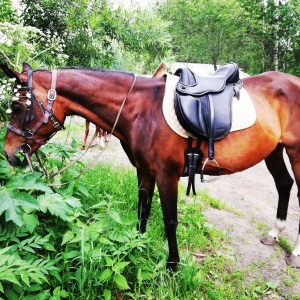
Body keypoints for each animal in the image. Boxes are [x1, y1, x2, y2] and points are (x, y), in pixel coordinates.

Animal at [1, 62, 300, 270]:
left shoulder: (167, 176)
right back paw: (274, 233)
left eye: (17, 107)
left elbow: (169, 220)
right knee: (284, 184)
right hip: (274, 150)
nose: (9, 154)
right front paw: (137, 244)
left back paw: (295, 253)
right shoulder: (144, 171)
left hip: (295, 153)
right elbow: (142, 211)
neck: (141, 110)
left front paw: (173, 267)